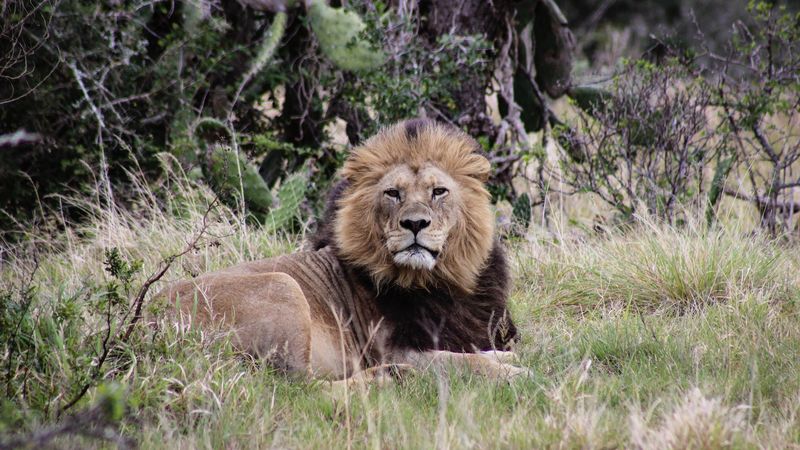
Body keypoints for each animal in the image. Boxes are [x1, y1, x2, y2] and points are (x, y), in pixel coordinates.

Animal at [159, 118, 529, 385]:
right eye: (392, 193)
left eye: (439, 191)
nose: (415, 223)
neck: (438, 280)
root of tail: (149, 320)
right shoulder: (399, 350)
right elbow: (463, 362)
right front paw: (516, 375)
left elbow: (476, 351)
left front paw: (507, 359)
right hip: (283, 287)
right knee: (302, 388)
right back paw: (384, 378)